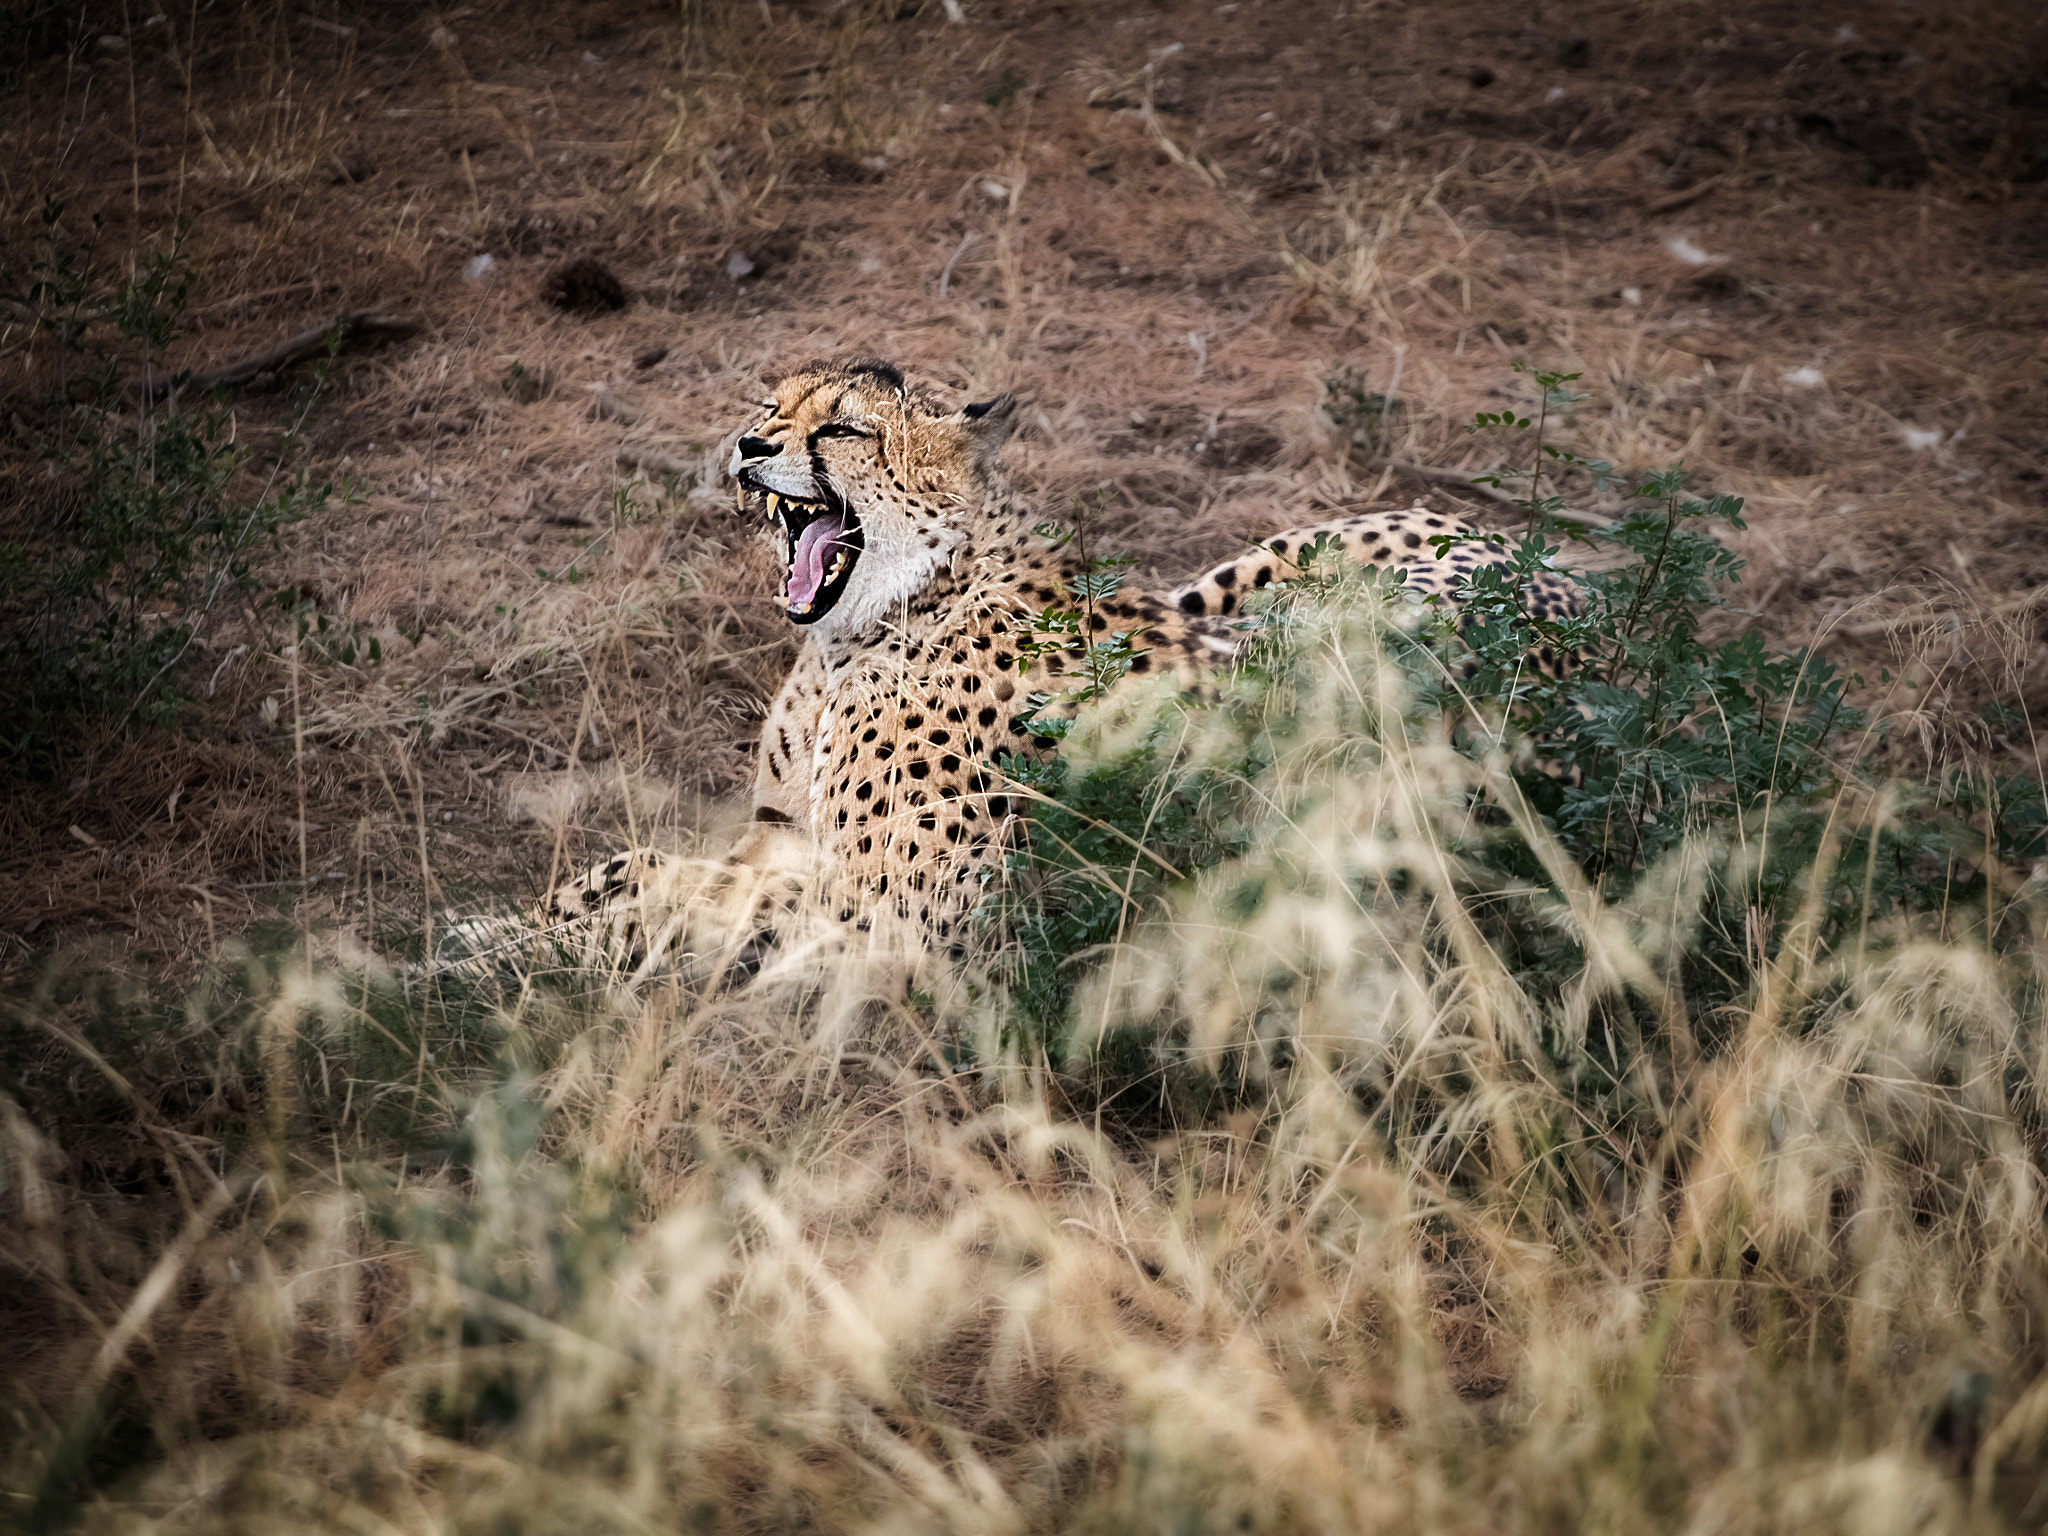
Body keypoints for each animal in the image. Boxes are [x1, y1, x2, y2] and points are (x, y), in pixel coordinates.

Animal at [500, 355, 1583, 972]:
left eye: (843, 428)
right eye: (770, 404)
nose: (748, 444)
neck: (883, 613)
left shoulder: (903, 917)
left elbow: (666, 902)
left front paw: (504, 960)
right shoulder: (781, 848)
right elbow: (634, 873)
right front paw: (513, 933)